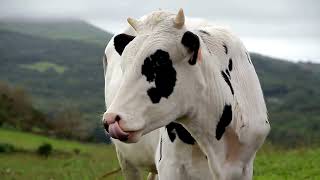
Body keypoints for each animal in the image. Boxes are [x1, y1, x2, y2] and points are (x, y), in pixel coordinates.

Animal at [102, 8, 270, 180]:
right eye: (123, 67)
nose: (111, 119)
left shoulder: (244, 166)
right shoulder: (170, 165)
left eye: (160, 63)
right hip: (126, 158)